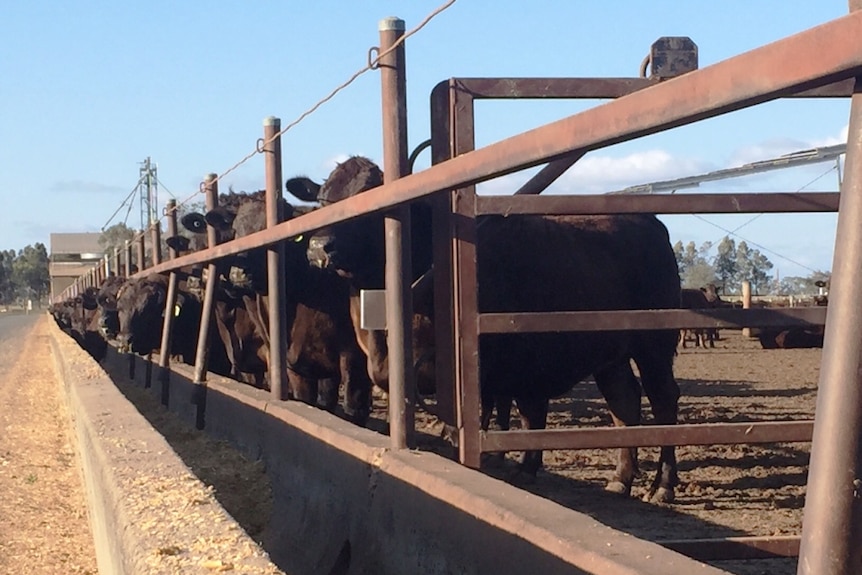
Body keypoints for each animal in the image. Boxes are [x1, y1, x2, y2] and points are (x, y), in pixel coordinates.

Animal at [286, 156, 684, 504]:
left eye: (369, 199)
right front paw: (522, 467)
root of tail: (649, 222)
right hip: (611, 355)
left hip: (655, 346)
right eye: (322, 201)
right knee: (624, 403)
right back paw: (620, 479)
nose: (320, 247)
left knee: (663, 401)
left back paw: (663, 485)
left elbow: (499, 415)